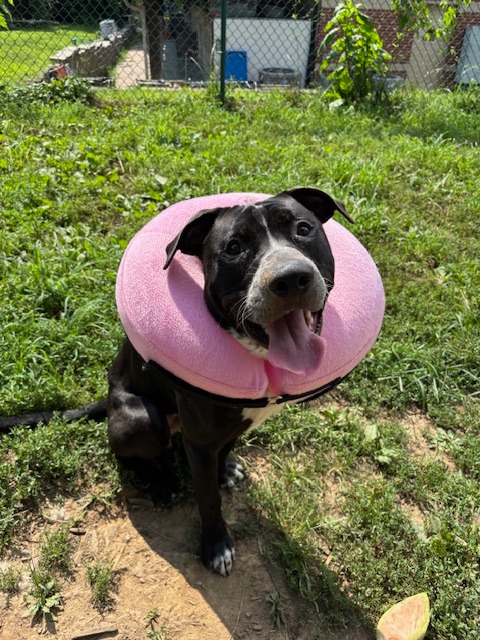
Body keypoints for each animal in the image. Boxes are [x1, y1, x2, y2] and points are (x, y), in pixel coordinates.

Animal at [107, 187, 353, 576]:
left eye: (303, 228)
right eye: (233, 247)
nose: (290, 278)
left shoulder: (227, 430)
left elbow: (224, 451)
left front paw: (226, 471)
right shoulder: (199, 443)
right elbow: (208, 498)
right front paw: (216, 546)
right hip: (142, 421)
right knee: (132, 456)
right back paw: (159, 485)